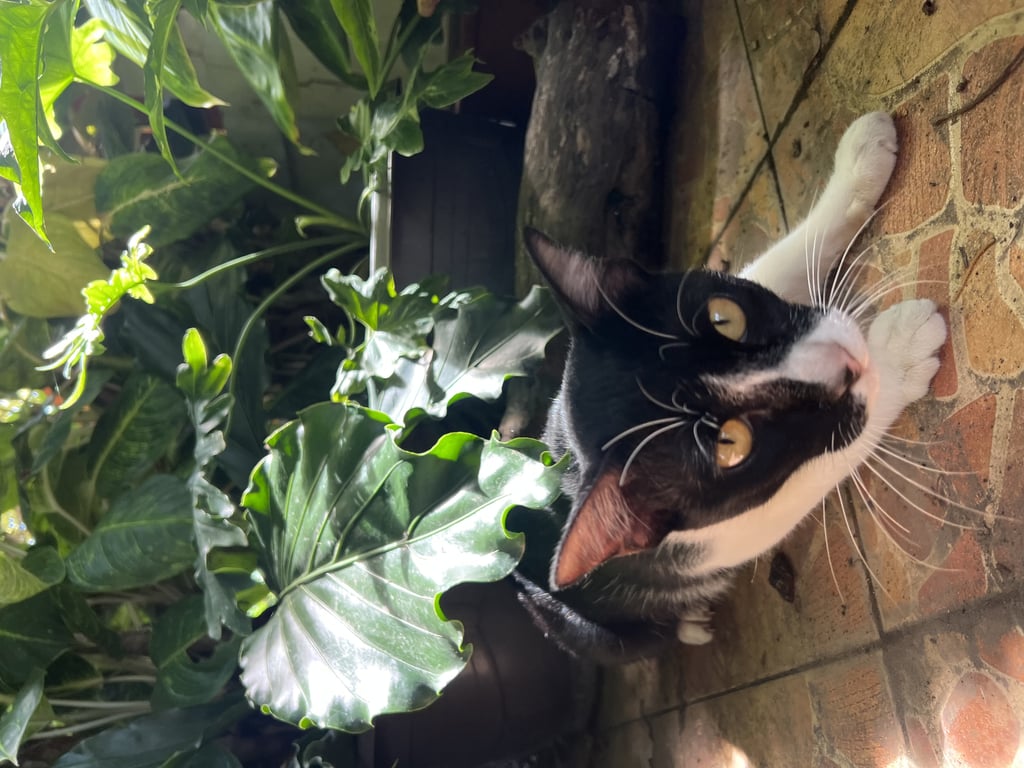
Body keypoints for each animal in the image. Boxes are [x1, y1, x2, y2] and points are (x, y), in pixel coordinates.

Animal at [516, 112, 947, 663]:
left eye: (726, 317)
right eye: (730, 444)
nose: (845, 361)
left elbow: (778, 260)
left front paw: (860, 163)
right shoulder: (711, 535)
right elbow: (823, 459)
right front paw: (900, 351)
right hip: (585, 629)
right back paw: (689, 623)